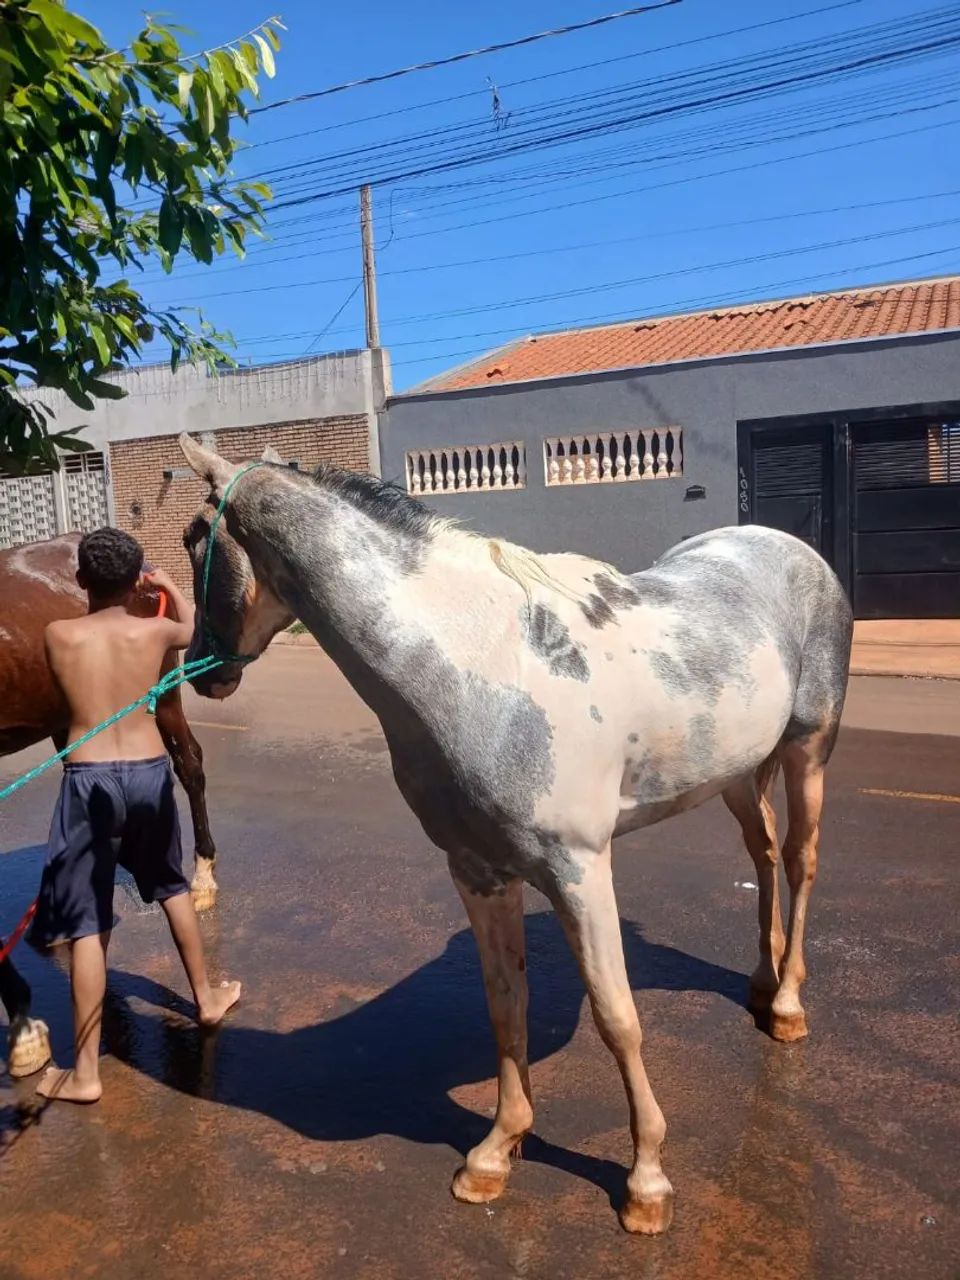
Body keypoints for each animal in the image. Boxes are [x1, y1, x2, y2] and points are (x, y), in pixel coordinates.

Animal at [177, 433, 853, 1235]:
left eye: (192, 539)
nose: (197, 671)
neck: (482, 672)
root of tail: (787, 547)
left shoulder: (579, 871)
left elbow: (618, 1017)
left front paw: (647, 1183)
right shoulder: (477, 872)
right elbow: (505, 1007)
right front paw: (497, 1153)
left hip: (808, 749)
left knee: (804, 861)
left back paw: (787, 1007)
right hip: (737, 773)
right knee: (766, 850)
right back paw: (760, 978)